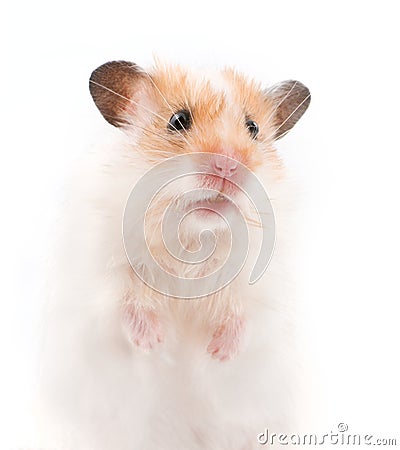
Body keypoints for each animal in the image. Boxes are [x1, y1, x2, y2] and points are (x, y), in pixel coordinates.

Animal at [36, 60, 310, 450]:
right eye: (178, 120)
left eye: (253, 128)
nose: (230, 165)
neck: (192, 236)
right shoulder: (101, 272)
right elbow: (125, 302)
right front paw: (157, 342)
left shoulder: (263, 288)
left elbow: (244, 316)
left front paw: (216, 353)